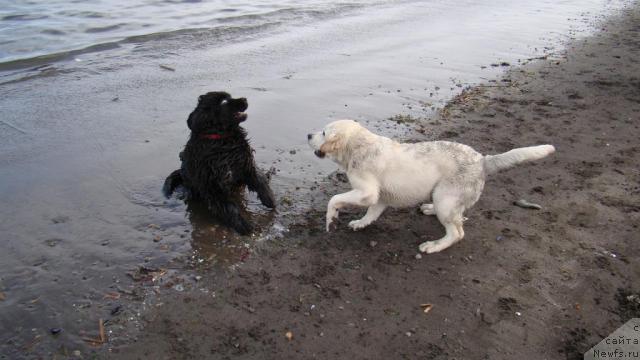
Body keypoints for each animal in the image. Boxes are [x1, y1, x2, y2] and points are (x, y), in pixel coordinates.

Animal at [162, 91, 276, 235]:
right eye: (223, 101)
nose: (245, 99)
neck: (223, 141)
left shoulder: (246, 165)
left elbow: (260, 181)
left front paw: (269, 200)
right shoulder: (213, 185)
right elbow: (229, 206)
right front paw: (242, 225)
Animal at [306, 120, 556, 253]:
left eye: (324, 132)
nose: (308, 134)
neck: (358, 147)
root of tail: (483, 160)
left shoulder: (367, 192)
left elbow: (334, 199)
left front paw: (331, 219)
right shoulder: (380, 197)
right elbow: (371, 213)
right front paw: (360, 223)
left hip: (445, 198)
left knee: (457, 232)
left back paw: (434, 245)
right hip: (444, 198)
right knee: (459, 217)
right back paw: (429, 209)